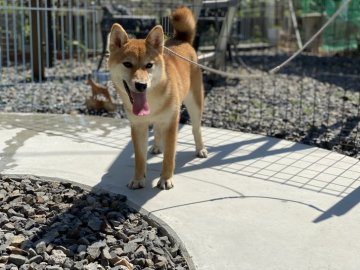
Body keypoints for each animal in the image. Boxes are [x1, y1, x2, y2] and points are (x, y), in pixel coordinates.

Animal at [108, 6, 207, 190]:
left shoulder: (171, 123)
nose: (141, 85)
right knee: (158, 129)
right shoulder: (138, 126)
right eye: (127, 64)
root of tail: (181, 40)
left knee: (196, 128)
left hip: (195, 104)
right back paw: (156, 146)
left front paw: (166, 179)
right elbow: (139, 158)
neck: (152, 101)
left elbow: (169, 156)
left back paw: (200, 149)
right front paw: (138, 179)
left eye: (149, 65)